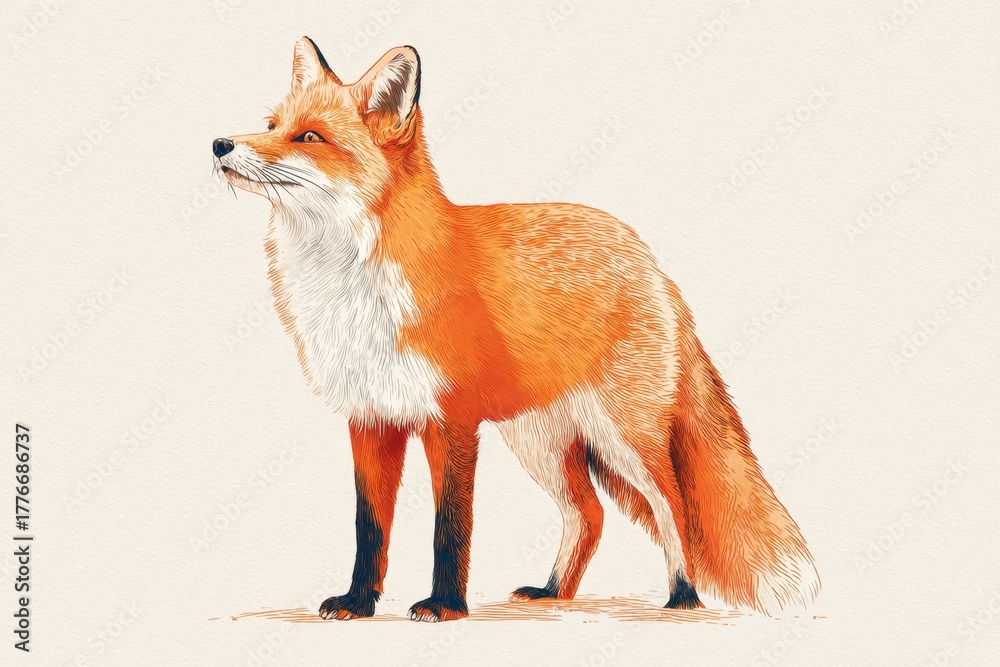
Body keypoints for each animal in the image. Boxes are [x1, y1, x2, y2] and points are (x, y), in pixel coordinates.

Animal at [214, 37, 820, 622]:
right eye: (271, 125)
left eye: (309, 137)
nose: (220, 145)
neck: (349, 287)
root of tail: (648, 259)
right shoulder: (371, 419)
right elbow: (370, 530)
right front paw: (359, 602)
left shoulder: (451, 421)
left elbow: (450, 527)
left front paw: (444, 606)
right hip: (539, 441)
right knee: (589, 513)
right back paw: (554, 592)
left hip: (625, 436)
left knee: (673, 506)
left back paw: (683, 597)